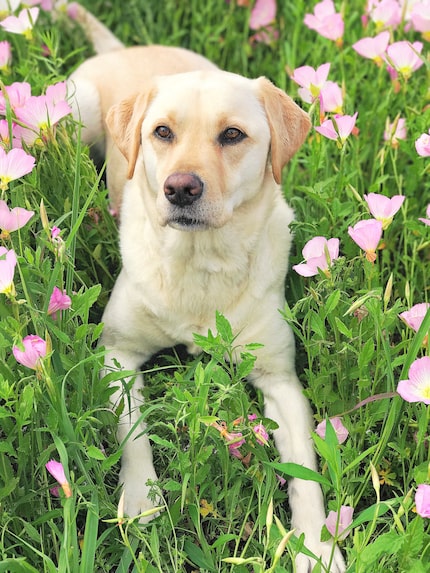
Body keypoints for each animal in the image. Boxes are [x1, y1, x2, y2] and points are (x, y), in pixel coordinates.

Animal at [67, 5, 346, 572]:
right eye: (162, 132)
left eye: (233, 135)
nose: (179, 188)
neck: (201, 265)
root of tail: (123, 49)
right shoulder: (117, 353)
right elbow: (133, 432)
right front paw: (141, 500)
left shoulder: (280, 380)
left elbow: (306, 473)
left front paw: (316, 546)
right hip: (75, 110)